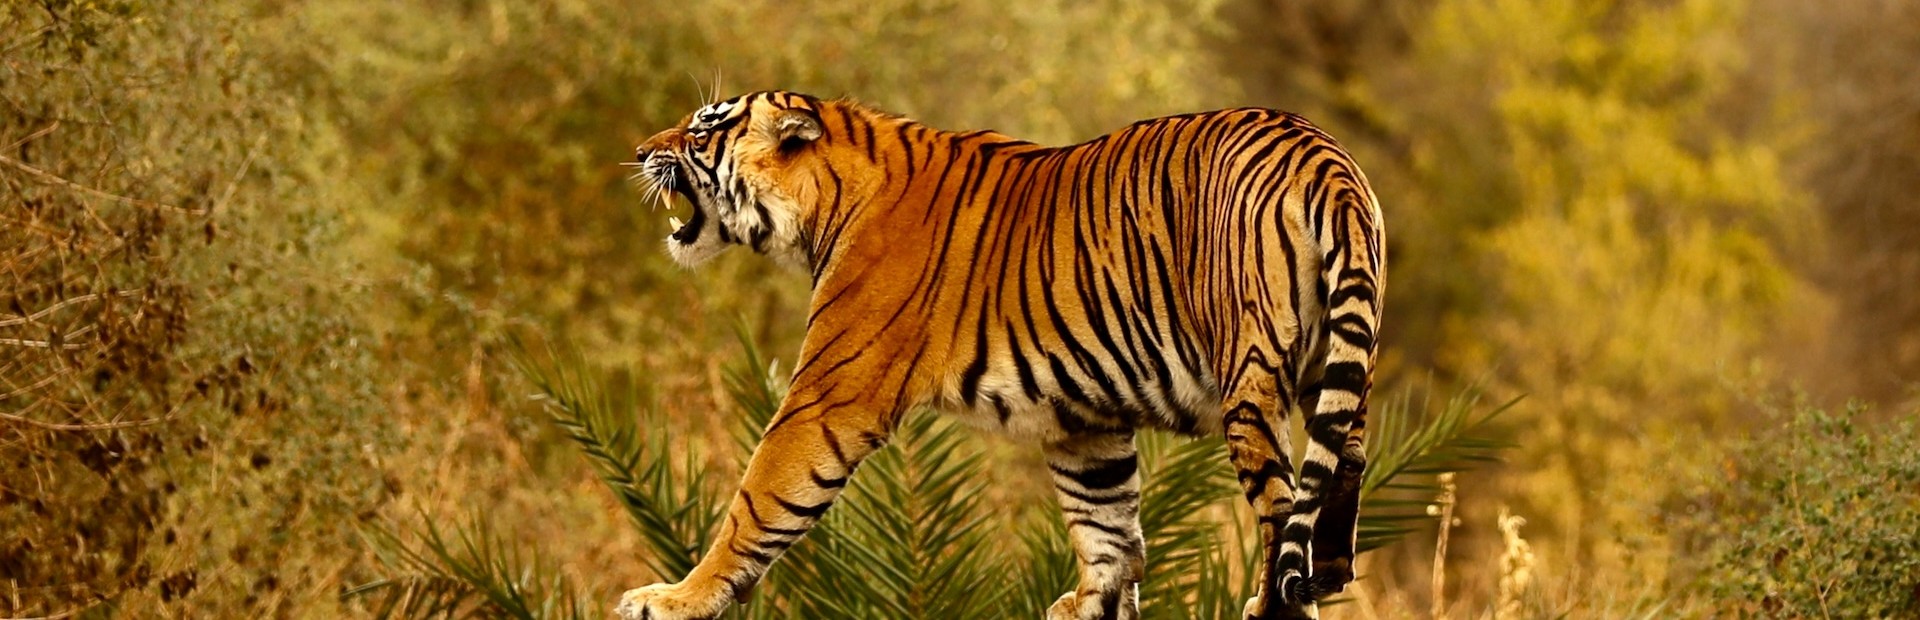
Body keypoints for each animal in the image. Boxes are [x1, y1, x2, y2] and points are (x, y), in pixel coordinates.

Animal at [620, 90, 1385, 620]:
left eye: (699, 131)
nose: (639, 150)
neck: (824, 204)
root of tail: (1324, 155)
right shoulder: (1086, 422)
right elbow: (1107, 528)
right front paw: (1091, 604)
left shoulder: (830, 395)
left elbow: (756, 502)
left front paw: (674, 599)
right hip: (1338, 363)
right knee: (1342, 462)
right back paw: (1325, 575)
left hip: (1249, 377)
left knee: (1281, 502)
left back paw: (1274, 606)